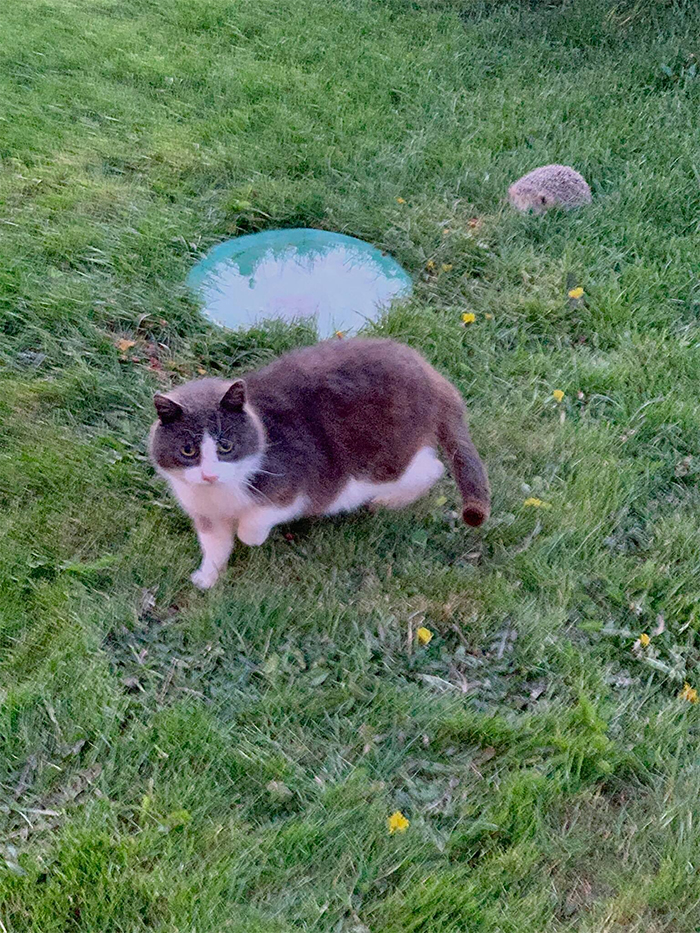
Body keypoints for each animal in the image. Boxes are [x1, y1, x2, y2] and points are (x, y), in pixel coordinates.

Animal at [152, 338, 492, 588]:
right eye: (187, 450)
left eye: (226, 446)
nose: (208, 474)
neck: (218, 494)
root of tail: (432, 377)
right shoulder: (204, 512)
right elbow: (215, 544)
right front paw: (207, 578)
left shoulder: (298, 484)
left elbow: (260, 518)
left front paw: (250, 536)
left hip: (383, 458)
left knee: (431, 468)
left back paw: (384, 502)